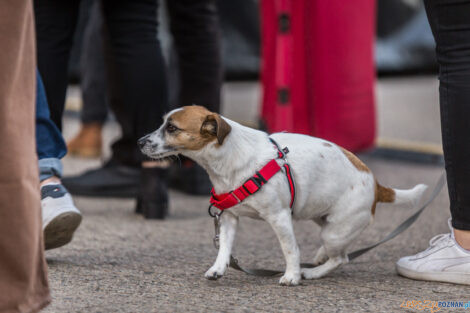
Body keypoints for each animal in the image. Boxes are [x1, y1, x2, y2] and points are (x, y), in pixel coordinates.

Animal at [138, 105, 428, 286]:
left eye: (172, 128)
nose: (140, 141)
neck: (226, 161)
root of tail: (376, 184)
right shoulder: (229, 217)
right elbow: (224, 247)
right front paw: (218, 268)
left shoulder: (279, 218)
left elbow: (290, 249)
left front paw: (292, 275)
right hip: (323, 219)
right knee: (335, 250)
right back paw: (319, 256)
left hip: (335, 231)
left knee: (341, 257)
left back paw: (313, 272)